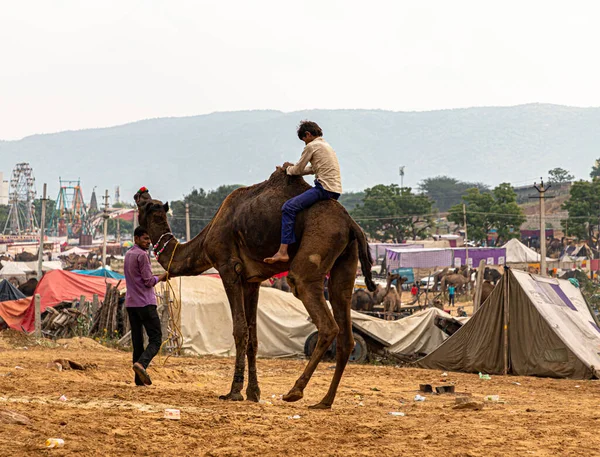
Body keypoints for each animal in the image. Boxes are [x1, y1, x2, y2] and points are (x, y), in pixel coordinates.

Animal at [135, 168, 376, 410]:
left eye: (144, 205)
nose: (140, 192)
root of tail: (351, 224)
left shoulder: (228, 267)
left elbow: (240, 329)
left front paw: (234, 392)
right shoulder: (252, 280)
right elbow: (253, 335)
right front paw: (253, 392)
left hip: (317, 247)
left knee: (323, 318)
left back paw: (294, 391)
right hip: (346, 261)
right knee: (345, 323)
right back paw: (325, 401)